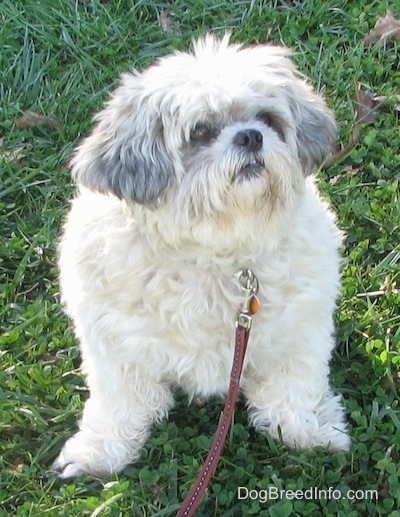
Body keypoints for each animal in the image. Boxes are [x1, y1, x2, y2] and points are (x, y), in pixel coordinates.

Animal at [54, 34, 350, 478]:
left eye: (267, 119)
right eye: (200, 131)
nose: (251, 136)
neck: (215, 255)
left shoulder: (299, 333)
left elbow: (294, 385)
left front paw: (308, 430)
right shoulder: (116, 349)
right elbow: (119, 403)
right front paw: (99, 452)